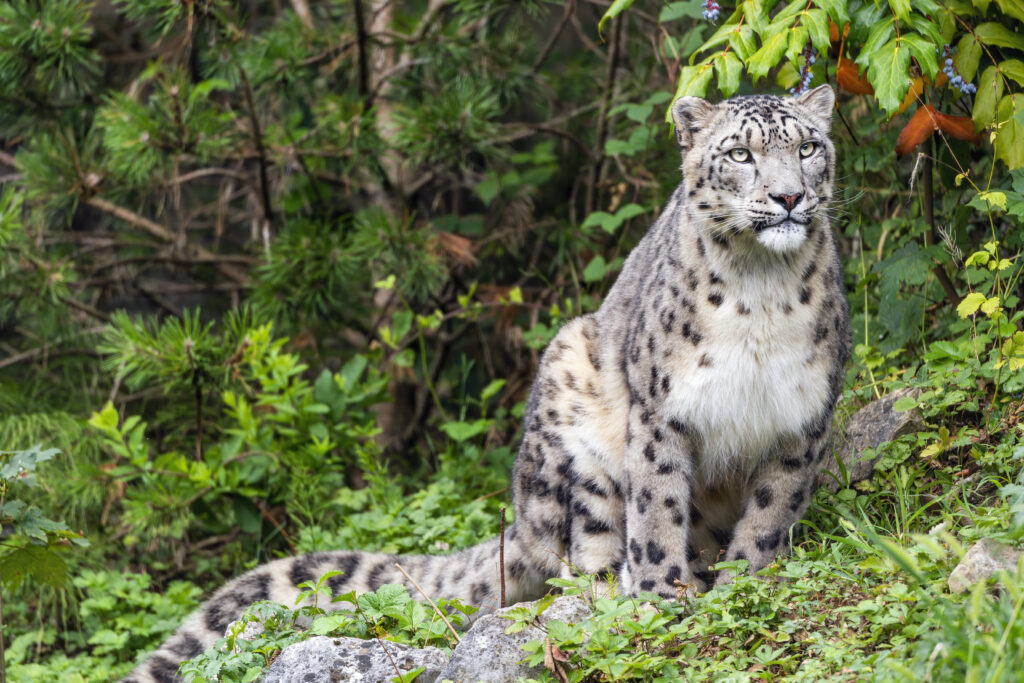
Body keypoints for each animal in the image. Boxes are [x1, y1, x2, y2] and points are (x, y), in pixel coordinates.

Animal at [125, 84, 850, 682]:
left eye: (807, 147)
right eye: (741, 153)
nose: (788, 197)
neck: (761, 294)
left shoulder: (802, 418)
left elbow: (769, 516)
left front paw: (747, 589)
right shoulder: (661, 414)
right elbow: (657, 511)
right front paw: (657, 600)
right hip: (568, 402)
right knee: (574, 553)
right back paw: (607, 594)